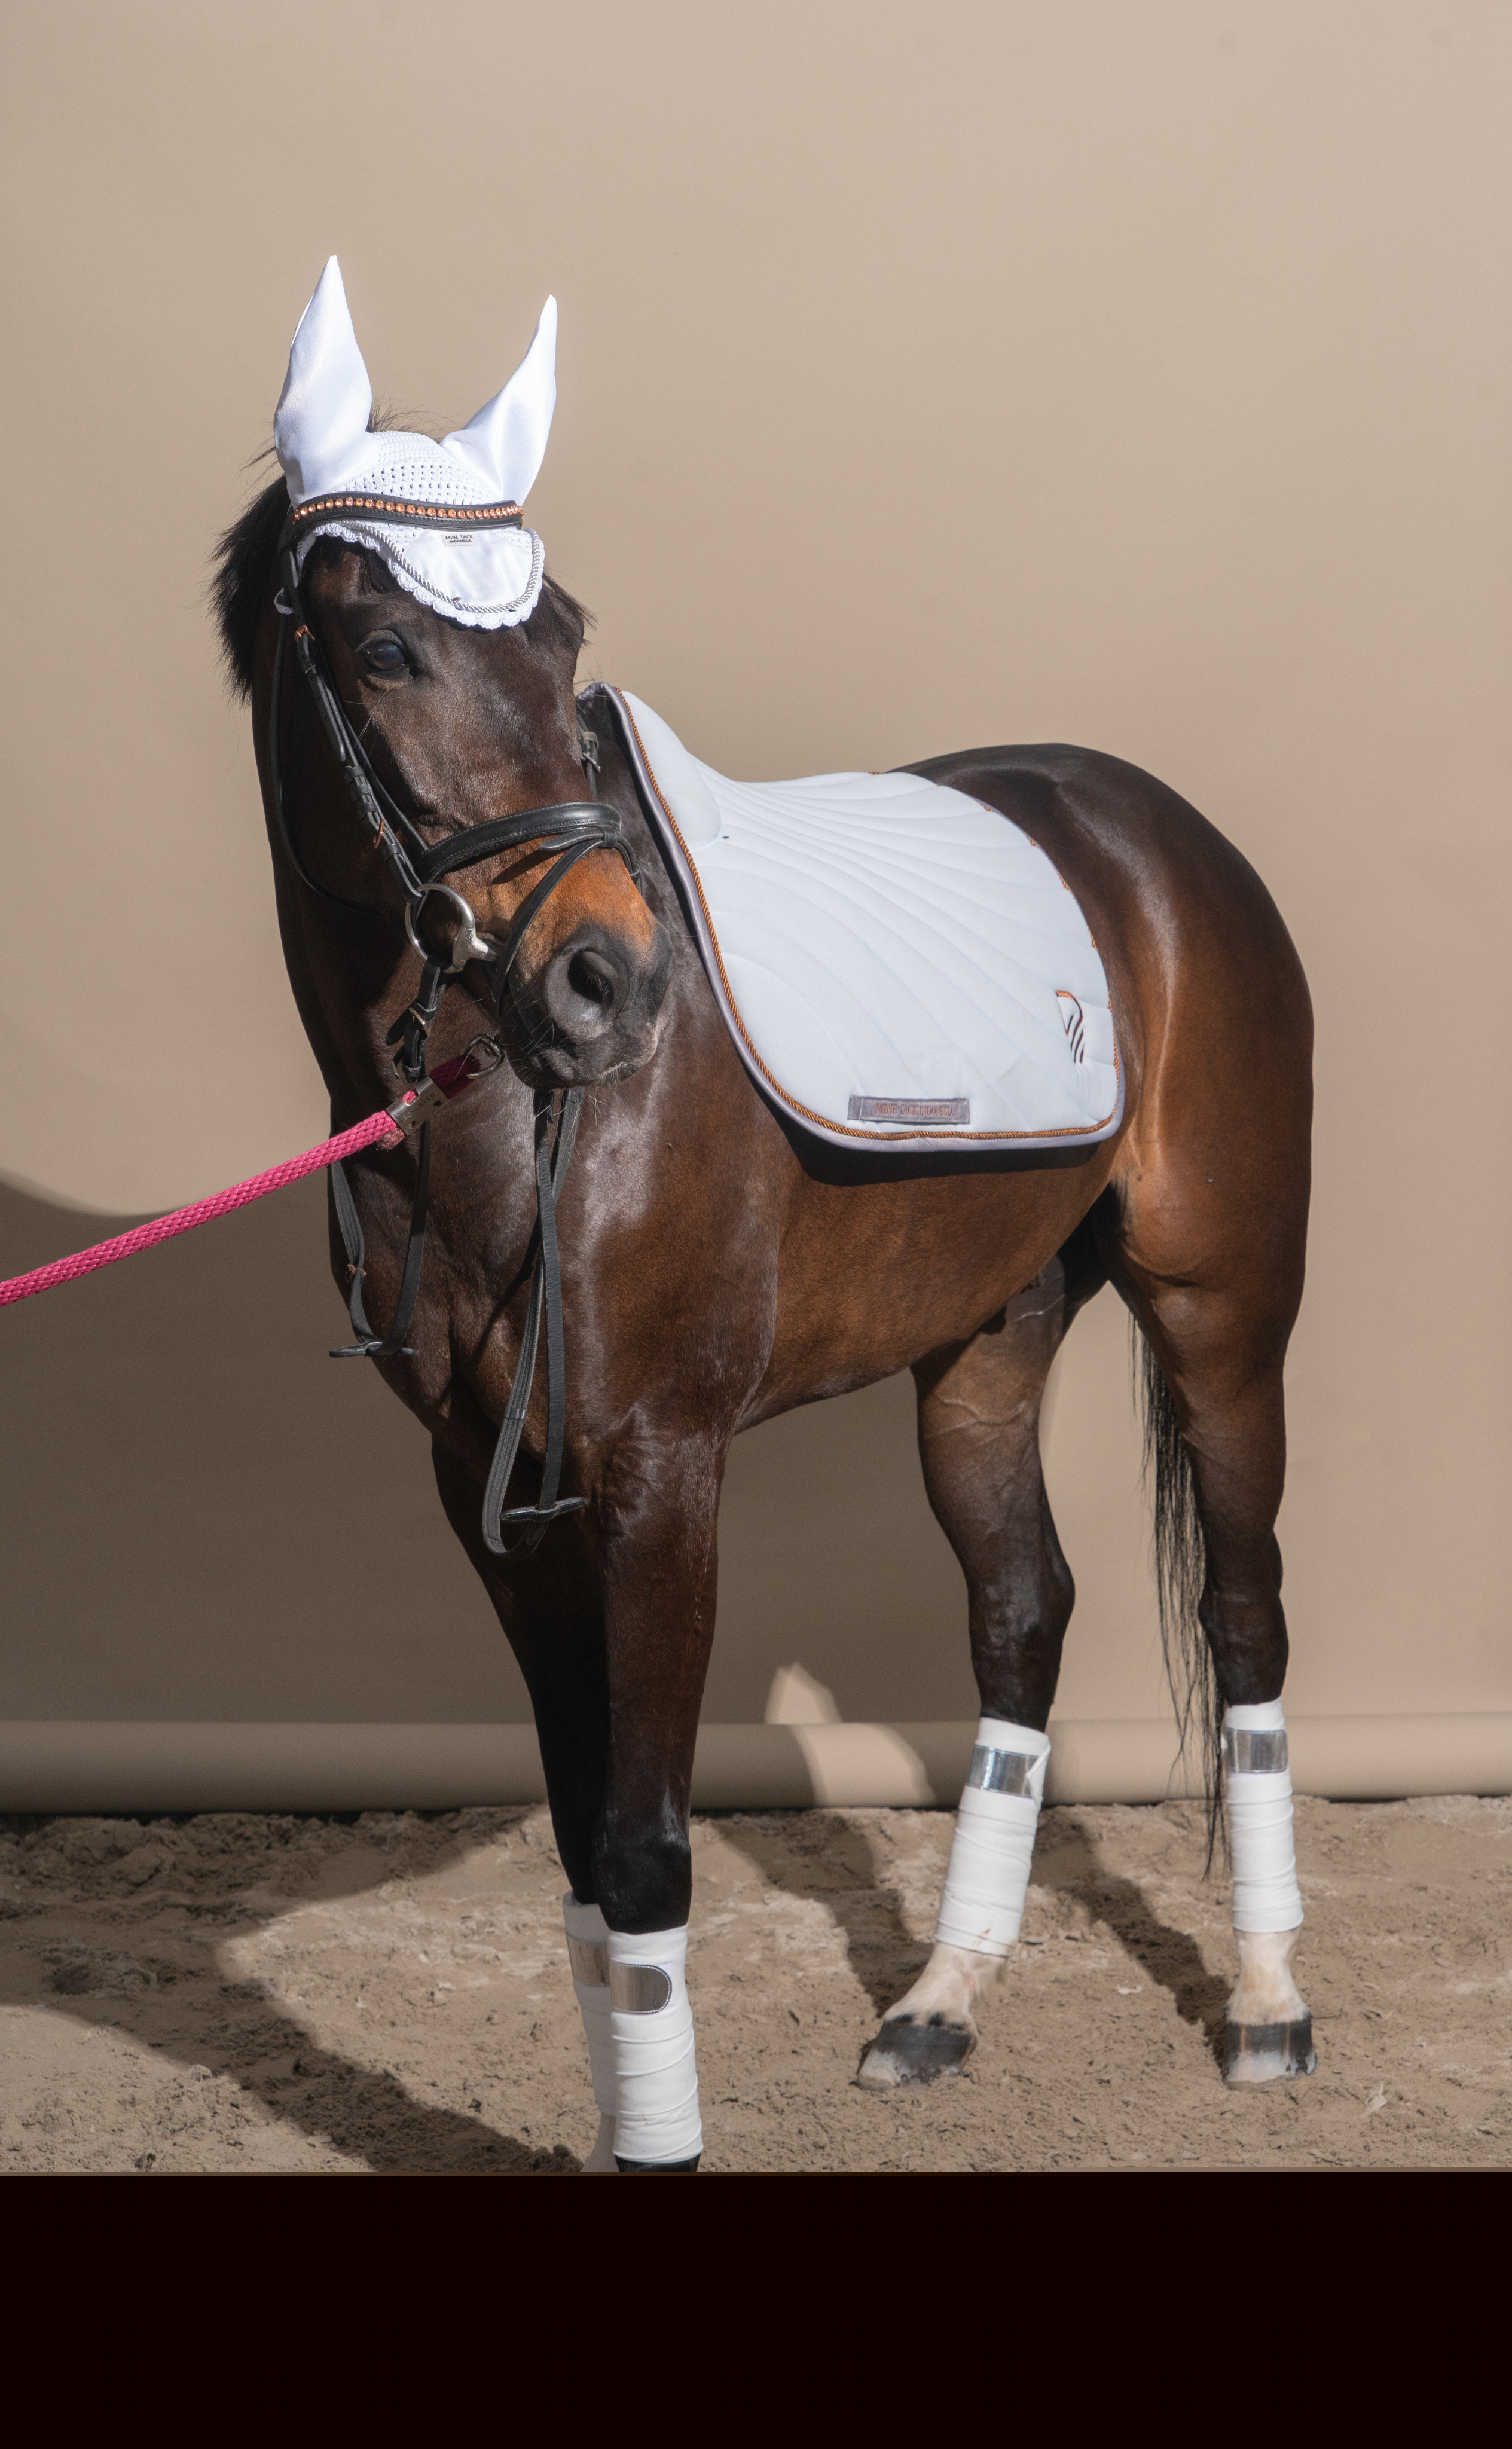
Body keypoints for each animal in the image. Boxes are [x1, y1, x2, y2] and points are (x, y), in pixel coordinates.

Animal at [213, 471, 1313, 2170]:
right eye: (386, 646)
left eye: (560, 640)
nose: (606, 981)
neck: (508, 1126)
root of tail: (1157, 834)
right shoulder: (490, 1496)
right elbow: (585, 1843)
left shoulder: (663, 1474)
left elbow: (645, 1847)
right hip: (981, 1354)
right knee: (1024, 1613)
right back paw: (937, 2003)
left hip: (1222, 1316)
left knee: (1243, 1616)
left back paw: (1264, 2003)